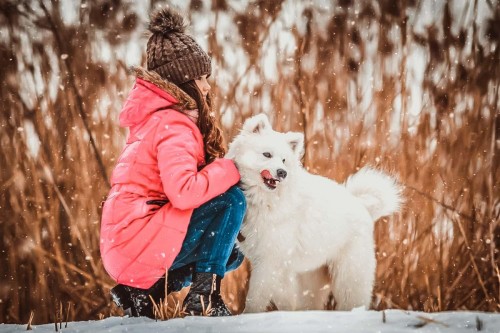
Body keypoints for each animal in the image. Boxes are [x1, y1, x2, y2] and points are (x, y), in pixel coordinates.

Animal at [227, 113, 402, 312]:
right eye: (267, 154)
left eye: (284, 160)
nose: (282, 172)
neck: (263, 200)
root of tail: (362, 205)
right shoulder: (274, 263)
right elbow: (283, 298)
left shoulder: (269, 259)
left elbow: (256, 296)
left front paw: (249, 314)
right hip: (312, 277)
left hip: (348, 276)